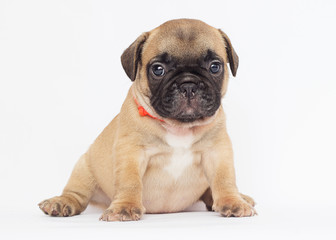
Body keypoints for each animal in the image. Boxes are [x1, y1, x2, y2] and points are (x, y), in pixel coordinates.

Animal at [38, 18, 256, 221]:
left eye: (215, 67)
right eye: (158, 69)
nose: (188, 85)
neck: (179, 127)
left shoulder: (218, 151)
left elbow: (224, 179)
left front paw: (233, 202)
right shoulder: (131, 153)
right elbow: (130, 182)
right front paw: (124, 207)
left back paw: (241, 197)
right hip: (85, 168)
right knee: (77, 193)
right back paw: (61, 202)